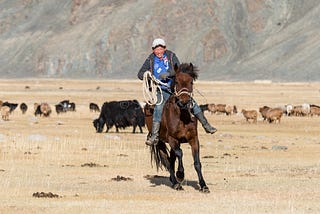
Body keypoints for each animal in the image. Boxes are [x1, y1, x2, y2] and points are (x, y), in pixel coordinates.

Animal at [146, 62, 210, 192]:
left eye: (191, 82)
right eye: (176, 82)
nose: (184, 101)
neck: (182, 117)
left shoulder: (193, 139)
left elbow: (197, 163)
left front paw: (203, 185)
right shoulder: (172, 139)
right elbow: (180, 154)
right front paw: (180, 174)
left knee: (171, 159)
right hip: (160, 141)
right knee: (167, 159)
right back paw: (176, 183)